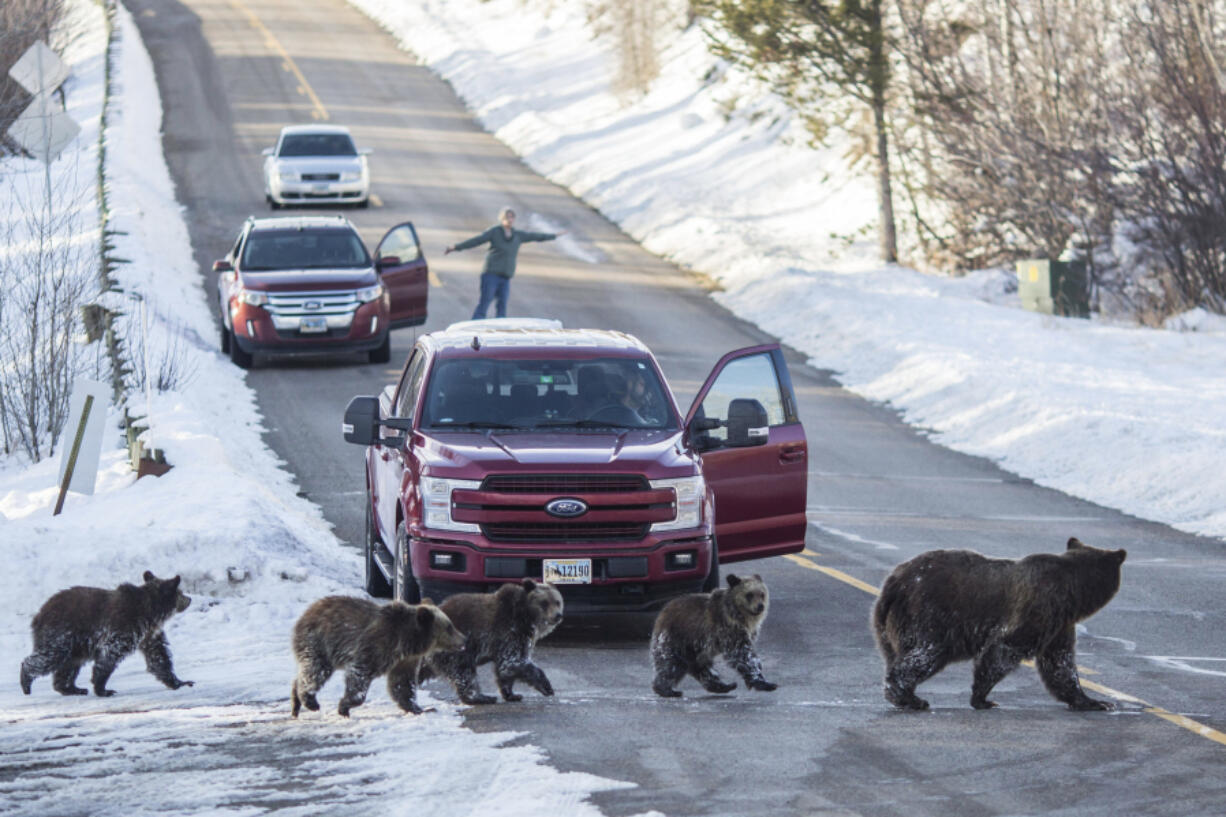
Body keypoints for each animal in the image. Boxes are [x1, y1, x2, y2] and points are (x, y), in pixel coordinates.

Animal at [19, 571, 192, 691]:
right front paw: (102, 687)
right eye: (180, 592)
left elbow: (159, 657)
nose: (190, 599)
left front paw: (180, 682)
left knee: (70, 663)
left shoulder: (148, 635)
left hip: (76, 644)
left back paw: (72, 688)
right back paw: (26, 681)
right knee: (50, 656)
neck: (150, 613)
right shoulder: (125, 625)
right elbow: (111, 652)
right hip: (61, 633)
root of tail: (39, 613)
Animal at [289, 596, 465, 716]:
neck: (407, 642)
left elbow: (402, 684)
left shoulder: (405, 661)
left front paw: (419, 708)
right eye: (449, 627)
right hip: (319, 642)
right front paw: (344, 706)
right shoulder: (375, 646)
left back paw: (296, 702)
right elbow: (359, 675)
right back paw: (310, 701)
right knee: (316, 671)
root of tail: (306, 612)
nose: (464, 639)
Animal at [411, 576, 563, 701]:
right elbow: (514, 662)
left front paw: (512, 694)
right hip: (456, 644)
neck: (526, 617)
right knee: (464, 671)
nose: (558, 615)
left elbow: (505, 669)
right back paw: (480, 697)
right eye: (544, 603)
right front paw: (547, 686)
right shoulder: (509, 632)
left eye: (557, 602)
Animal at [877, 534, 1123, 706]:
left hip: (888, 624)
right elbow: (1005, 648)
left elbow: (1060, 663)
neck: (1074, 595)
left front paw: (1092, 701)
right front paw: (982, 697)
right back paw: (909, 697)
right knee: (926, 653)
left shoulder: (1059, 625)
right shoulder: (1041, 608)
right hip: (930, 614)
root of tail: (894, 581)